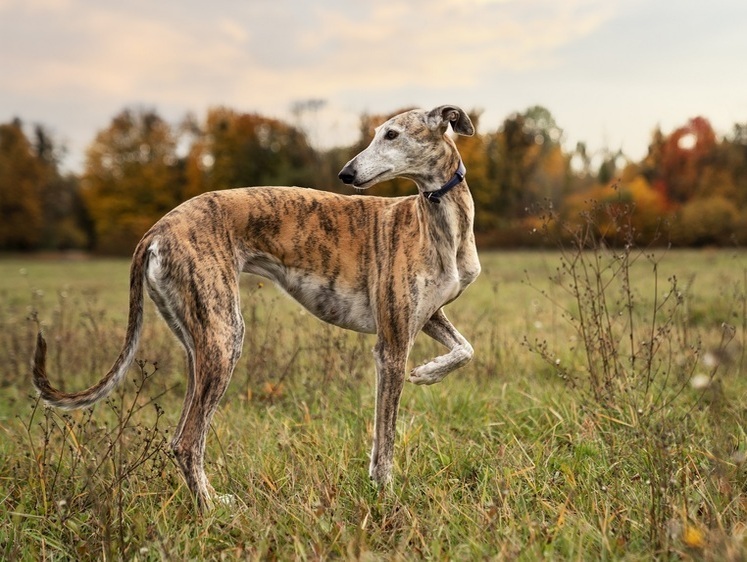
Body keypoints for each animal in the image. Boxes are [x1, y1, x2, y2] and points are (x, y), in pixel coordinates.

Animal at [32, 103, 482, 510]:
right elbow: (384, 438)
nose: (346, 174)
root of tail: (158, 228)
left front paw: (428, 372)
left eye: (391, 135)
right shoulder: (391, 345)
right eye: (378, 134)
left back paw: (212, 498)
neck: (439, 221)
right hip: (225, 335)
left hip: (200, 344)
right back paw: (212, 510)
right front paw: (385, 494)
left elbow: (466, 349)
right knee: (187, 441)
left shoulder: (426, 316)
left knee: (181, 437)